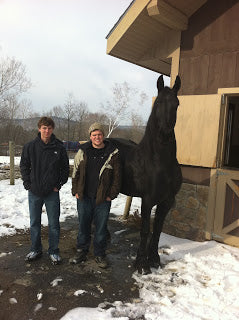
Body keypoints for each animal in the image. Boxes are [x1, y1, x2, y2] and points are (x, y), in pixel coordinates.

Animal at [108, 74, 181, 272]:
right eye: (158, 102)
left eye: (177, 103)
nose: (165, 133)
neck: (159, 162)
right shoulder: (147, 200)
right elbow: (145, 230)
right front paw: (141, 264)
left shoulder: (167, 201)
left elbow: (157, 230)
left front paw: (154, 259)